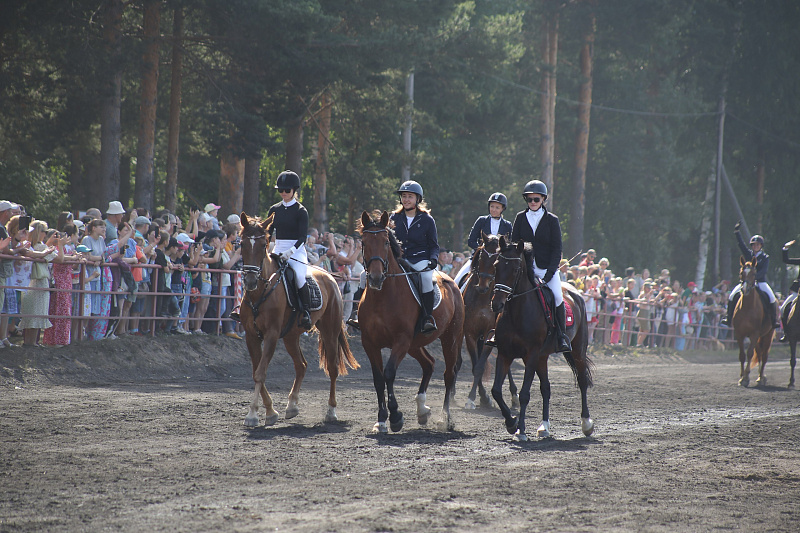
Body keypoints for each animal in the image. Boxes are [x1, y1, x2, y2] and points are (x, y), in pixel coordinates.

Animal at [236, 210, 358, 426]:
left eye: (263, 244)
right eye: (242, 244)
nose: (250, 281)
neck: (261, 292)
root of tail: (330, 277)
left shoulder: (271, 335)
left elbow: (260, 373)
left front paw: (252, 414)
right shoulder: (251, 336)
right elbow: (256, 372)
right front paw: (269, 411)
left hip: (330, 331)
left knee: (332, 368)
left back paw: (331, 411)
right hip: (291, 336)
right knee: (301, 365)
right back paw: (292, 406)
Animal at [356, 210, 462, 430]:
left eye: (386, 242)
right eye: (363, 242)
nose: (376, 278)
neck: (382, 296)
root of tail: (452, 282)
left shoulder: (401, 340)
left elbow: (388, 373)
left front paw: (396, 416)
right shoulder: (369, 343)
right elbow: (378, 379)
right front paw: (381, 420)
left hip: (450, 338)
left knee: (449, 374)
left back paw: (446, 419)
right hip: (415, 344)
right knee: (429, 364)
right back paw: (422, 410)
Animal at [462, 231, 520, 410]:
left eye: (495, 260)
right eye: (481, 256)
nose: (482, 287)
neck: (482, 298)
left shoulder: (489, 332)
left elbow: (480, 367)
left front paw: (478, 397)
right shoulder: (470, 334)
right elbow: (475, 366)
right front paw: (477, 397)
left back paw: (514, 395)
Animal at [488, 237, 592, 440]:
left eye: (515, 270)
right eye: (496, 266)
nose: (497, 304)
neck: (517, 312)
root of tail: (576, 292)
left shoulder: (532, 354)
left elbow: (524, 394)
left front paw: (520, 430)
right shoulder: (505, 354)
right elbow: (496, 390)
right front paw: (511, 423)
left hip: (577, 350)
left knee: (582, 381)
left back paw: (586, 424)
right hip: (543, 357)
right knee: (546, 388)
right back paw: (544, 427)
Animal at [732, 256, 776, 384]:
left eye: (754, 273)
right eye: (741, 272)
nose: (745, 289)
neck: (747, 307)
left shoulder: (754, 333)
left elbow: (750, 353)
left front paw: (746, 377)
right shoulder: (739, 333)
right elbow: (742, 355)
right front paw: (742, 376)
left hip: (767, 334)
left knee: (764, 355)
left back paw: (761, 377)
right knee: (760, 353)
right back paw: (759, 376)